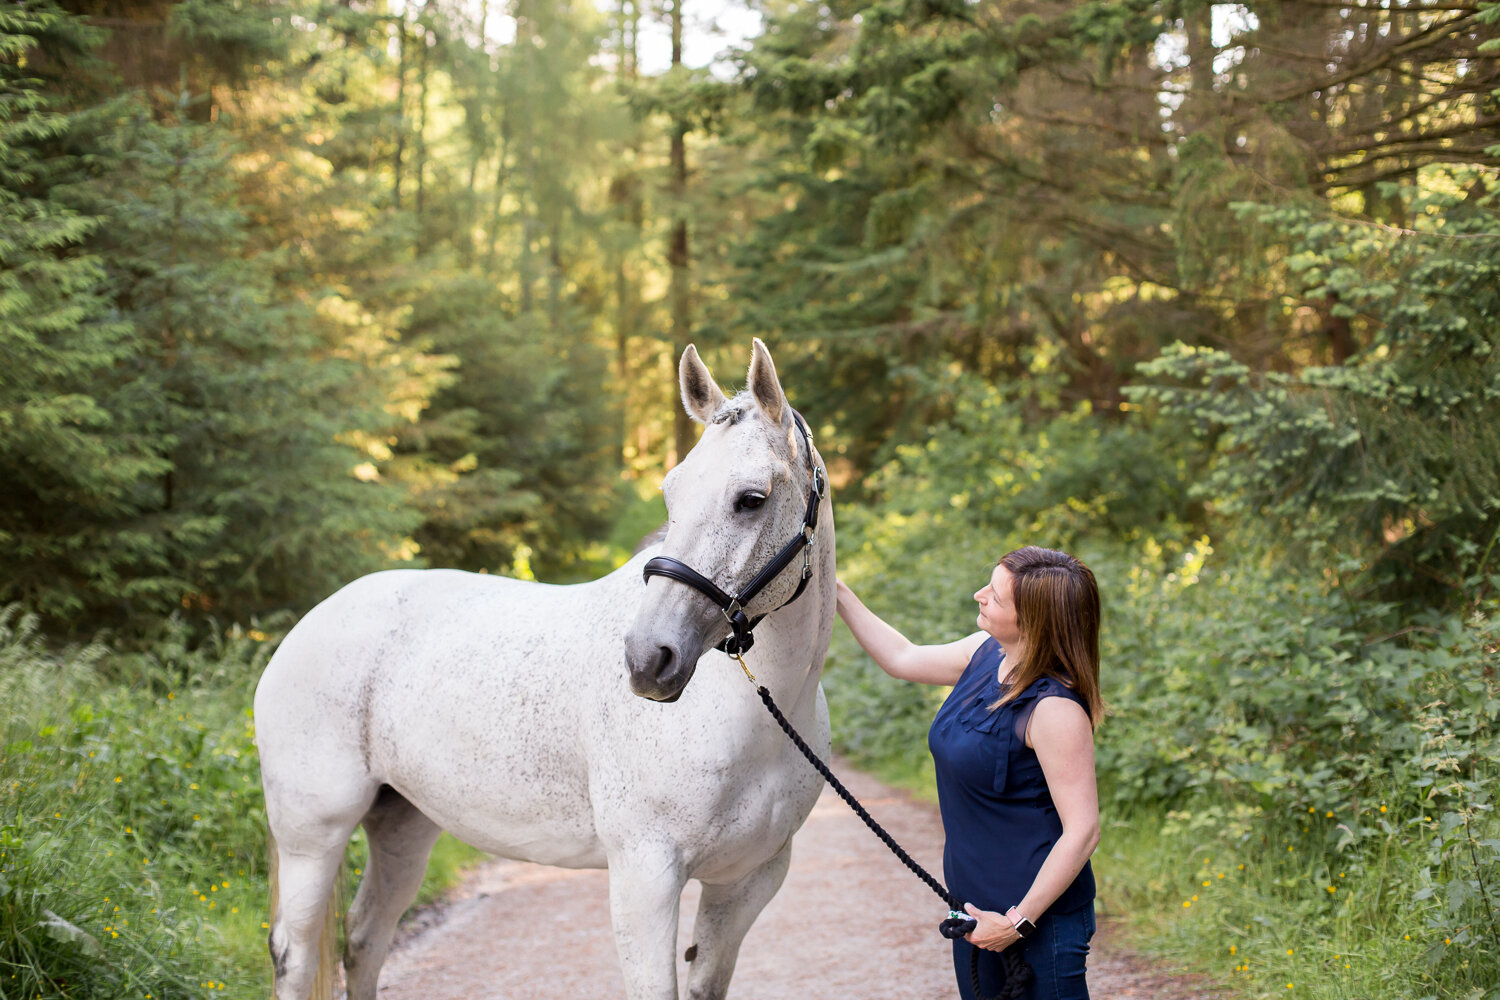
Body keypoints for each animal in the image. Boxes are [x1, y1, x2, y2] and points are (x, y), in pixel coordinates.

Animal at [255, 340, 834, 995]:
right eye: (671, 495)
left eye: (752, 499)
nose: (647, 659)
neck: (752, 720)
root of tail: (308, 624)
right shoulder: (645, 877)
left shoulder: (746, 882)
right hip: (312, 837)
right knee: (297, 955)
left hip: (403, 824)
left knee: (363, 939)